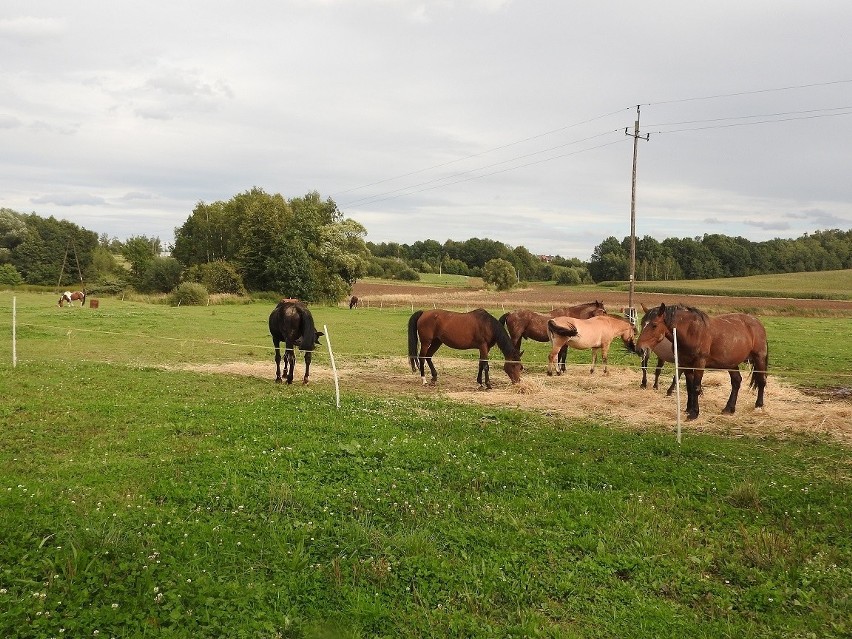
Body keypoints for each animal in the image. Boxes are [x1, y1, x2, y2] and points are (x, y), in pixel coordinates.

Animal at [636, 304, 768, 420]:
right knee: (736, 382)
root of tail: (757, 322)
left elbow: (696, 387)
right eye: (642, 324)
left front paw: (694, 413)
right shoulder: (685, 364)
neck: (691, 332)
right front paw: (688, 409)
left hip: (759, 358)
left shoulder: (699, 363)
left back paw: (758, 406)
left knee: (761, 381)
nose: (639, 349)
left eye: (654, 325)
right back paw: (729, 408)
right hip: (731, 363)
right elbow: (689, 387)